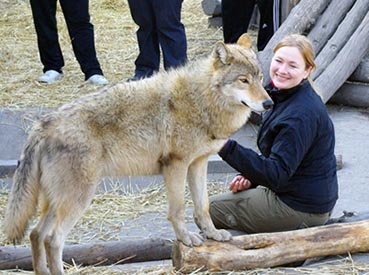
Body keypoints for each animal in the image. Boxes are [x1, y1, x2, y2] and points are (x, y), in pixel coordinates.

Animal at [3, 33, 274, 274]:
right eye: (243, 80)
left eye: (260, 77)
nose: (269, 103)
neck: (201, 99)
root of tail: (42, 125)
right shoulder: (176, 166)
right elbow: (178, 210)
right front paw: (186, 239)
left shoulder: (198, 164)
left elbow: (203, 207)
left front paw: (213, 235)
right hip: (78, 199)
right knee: (53, 240)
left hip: (58, 201)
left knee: (36, 234)